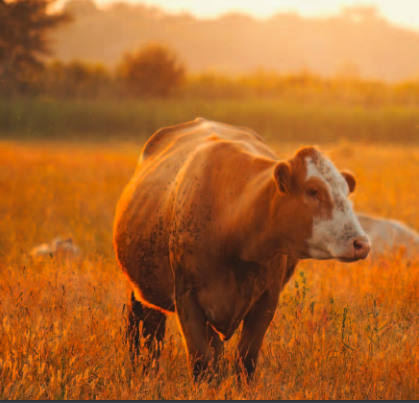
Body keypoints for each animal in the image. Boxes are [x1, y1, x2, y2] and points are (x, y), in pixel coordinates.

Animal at [112, 117, 370, 382]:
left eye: (346, 192)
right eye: (312, 191)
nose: (360, 243)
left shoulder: (266, 299)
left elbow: (245, 360)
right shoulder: (186, 296)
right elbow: (201, 361)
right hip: (142, 292)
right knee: (147, 333)